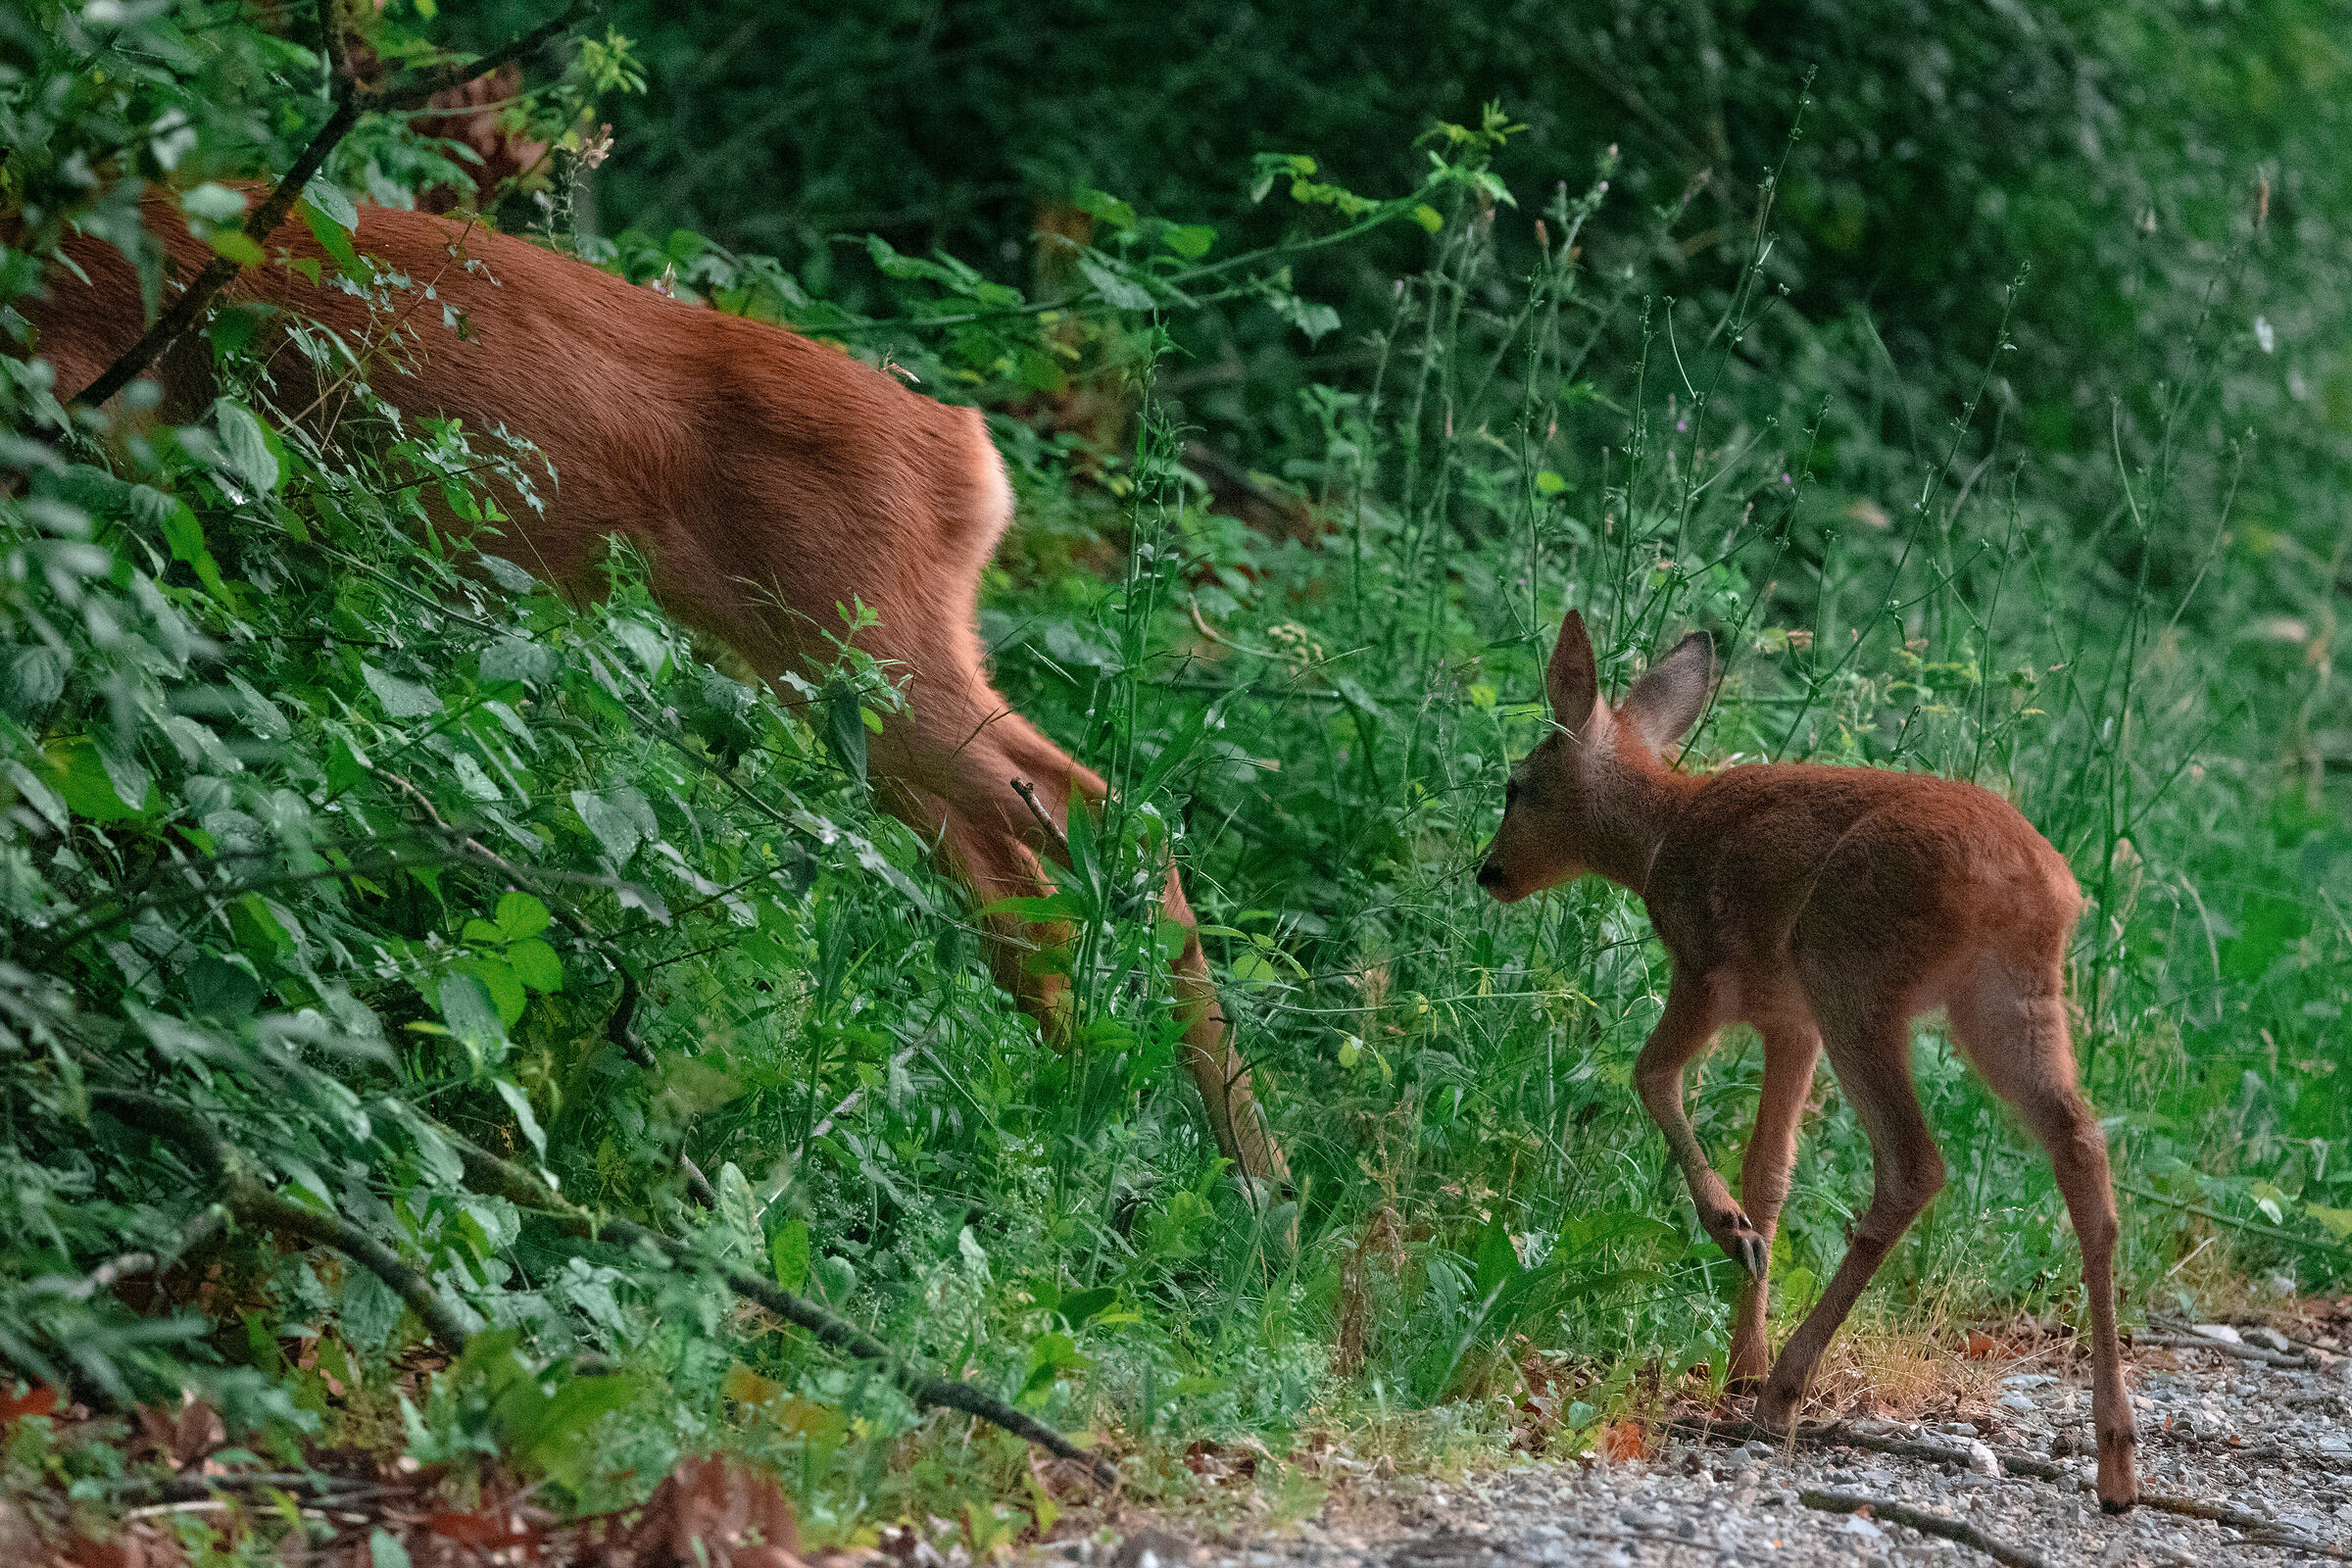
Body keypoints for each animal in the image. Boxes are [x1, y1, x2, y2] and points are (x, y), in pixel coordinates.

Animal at [21, 195, 1287, 1193]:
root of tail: (971, 458)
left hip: (862, 640)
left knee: (1111, 813)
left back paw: (1248, 1187)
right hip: (843, 676)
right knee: (1018, 874)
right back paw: (1091, 1131)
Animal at [1476, 612, 2137, 1512]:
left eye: (1517, 785)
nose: (1488, 872)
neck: (1660, 838)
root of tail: (2037, 886)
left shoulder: (1708, 970)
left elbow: (1650, 1075)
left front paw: (1731, 1240)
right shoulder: (1789, 1024)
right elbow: (1771, 1168)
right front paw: (1740, 1346)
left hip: (1849, 972)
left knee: (1915, 1163)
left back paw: (1787, 1393)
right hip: (2007, 1000)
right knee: (2081, 1145)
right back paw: (2117, 1460)